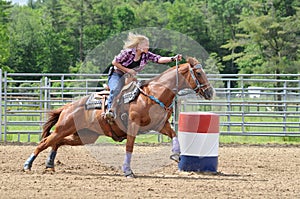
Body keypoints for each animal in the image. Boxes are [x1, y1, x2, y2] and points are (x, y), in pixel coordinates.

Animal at [24, 56, 216, 178]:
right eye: (199, 73)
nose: (210, 92)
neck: (153, 94)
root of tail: (67, 107)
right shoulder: (133, 125)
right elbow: (129, 147)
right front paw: (128, 171)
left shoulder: (160, 125)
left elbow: (174, 134)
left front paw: (176, 154)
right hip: (64, 128)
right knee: (45, 141)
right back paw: (28, 165)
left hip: (85, 136)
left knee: (57, 142)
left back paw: (50, 164)